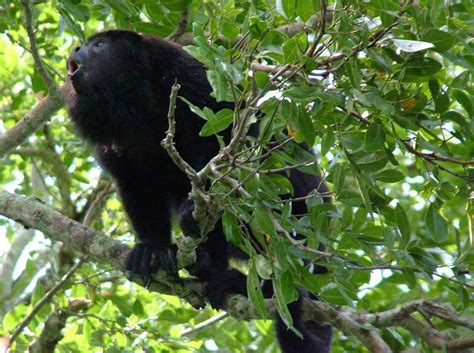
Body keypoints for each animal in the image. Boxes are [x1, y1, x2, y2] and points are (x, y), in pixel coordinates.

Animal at [65, 30, 334, 352]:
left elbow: (232, 140)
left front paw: (192, 209)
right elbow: (135, 186)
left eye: (98, 45)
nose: (76, 48)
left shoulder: (189, 77)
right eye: (86, 44)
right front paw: (152, 248)